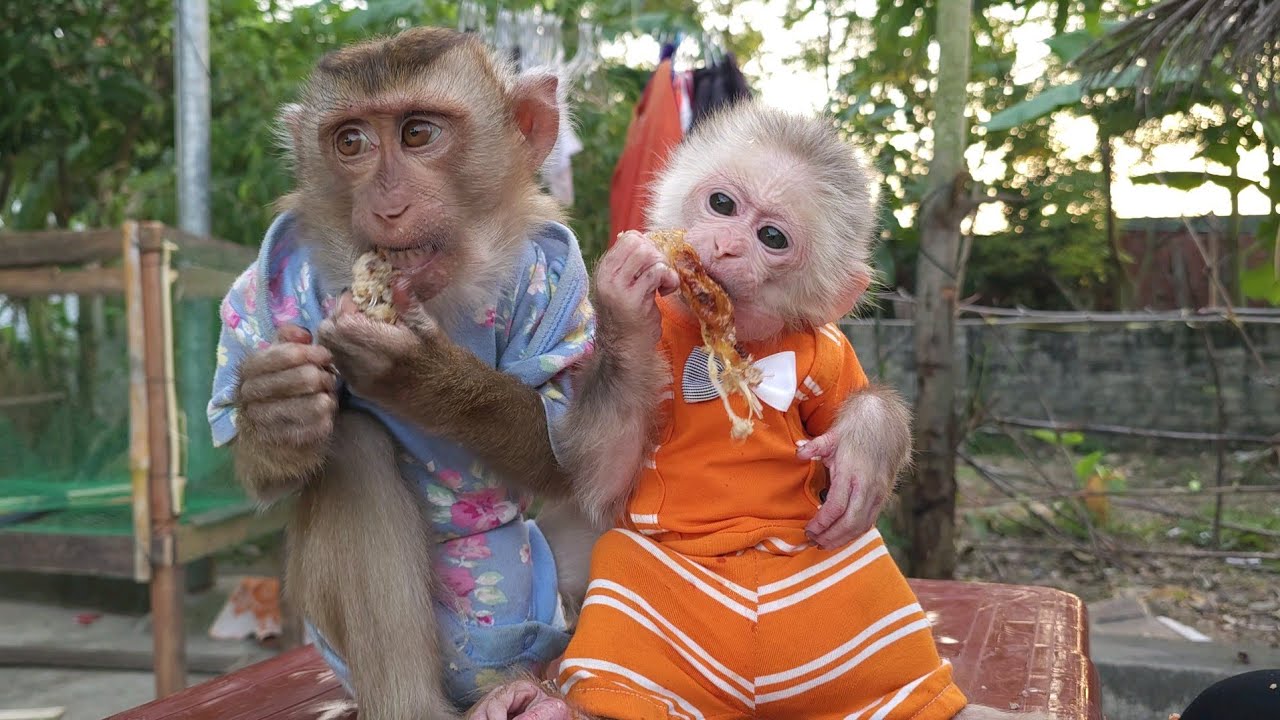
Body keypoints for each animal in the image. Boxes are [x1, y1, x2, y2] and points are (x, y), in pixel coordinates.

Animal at [206, 27, 601, 719]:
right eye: (351, 142)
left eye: (418, 134)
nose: (387, 205)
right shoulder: (269, 280)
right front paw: (274, 408)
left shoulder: (555, 275)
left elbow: (570, 453)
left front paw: (420, 374)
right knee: (350, 448)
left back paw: (550, 689)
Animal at [467, 101, 1053, 720]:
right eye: (722, 204)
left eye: (771, 237)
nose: (725, 247)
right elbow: (599, 482)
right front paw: (627, 299)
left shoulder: (828, 345)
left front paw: (862, 453)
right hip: (645, 601)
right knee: (624, 584)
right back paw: (560, 702)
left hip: (844, 586)